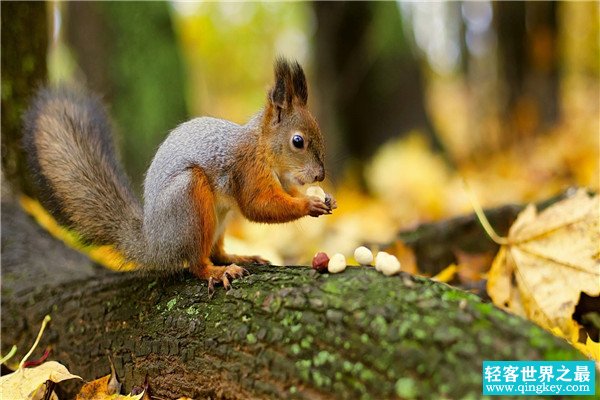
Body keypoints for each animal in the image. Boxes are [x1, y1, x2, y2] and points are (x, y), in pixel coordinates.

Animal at [23, 57, 336, 290]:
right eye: (298, 141)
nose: (320, 176)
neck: (264, 150)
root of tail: (153, 244)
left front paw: (326, 198)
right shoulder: (247, 169)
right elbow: (258, 206)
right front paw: (309, 204)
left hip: (219, 218)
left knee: (216, 251)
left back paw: (239, 257)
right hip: (189, 202)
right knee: (196, 261)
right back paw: (216, 272)